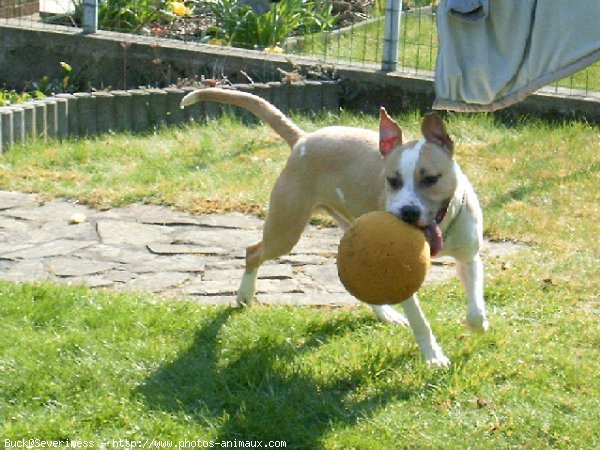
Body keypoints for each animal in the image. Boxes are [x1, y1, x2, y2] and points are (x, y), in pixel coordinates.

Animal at [182, 88, 488, 366]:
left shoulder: (469, 257)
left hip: (350, 231)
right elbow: (420, 320)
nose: (408, 212)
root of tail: (303, 139)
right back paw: (244, 295)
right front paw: (434, 357)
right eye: (392, 180)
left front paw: (478, 324)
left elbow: (475, 304)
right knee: (253, 252)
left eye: (431, 179)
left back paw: (386, 314)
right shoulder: (405, 278)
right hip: (286, 230)